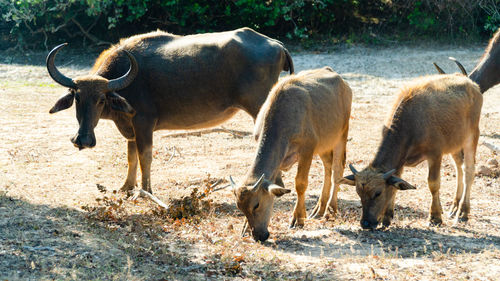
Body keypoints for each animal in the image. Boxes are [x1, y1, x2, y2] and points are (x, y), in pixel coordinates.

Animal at [46, 27, 292, 192]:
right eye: (77, 97)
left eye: (100, 99)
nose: (83, 140)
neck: (124, 80)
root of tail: (276, 44)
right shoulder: (131, 128)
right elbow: (131, 157)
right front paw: (126, 187)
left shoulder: (143, 123)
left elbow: (145, 157)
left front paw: (145, 191)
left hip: (260, 108)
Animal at [230, 66, 352, 240]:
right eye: (240, 208)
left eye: (256, 205)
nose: (259, 235)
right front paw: (246, 227)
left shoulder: (307, 149)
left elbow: (300, 183)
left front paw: (298, 218)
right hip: (324, 144)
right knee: (327, 167)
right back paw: (319, 209)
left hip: (341, 135)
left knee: (337, 169)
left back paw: (330, 209)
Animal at [342, 74, 482, 228]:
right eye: (358, 193)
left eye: (378, 193)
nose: (365, 223)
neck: (412, 123)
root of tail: (473, 85)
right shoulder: (400, 161)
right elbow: (396, 185)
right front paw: (387, 217)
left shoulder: (435, 155)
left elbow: (433, 184)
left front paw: (435, 217)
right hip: (455, 144)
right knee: (459, 169)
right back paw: (455, 206)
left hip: (471, 137)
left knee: (469, 171)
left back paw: (463, 212)